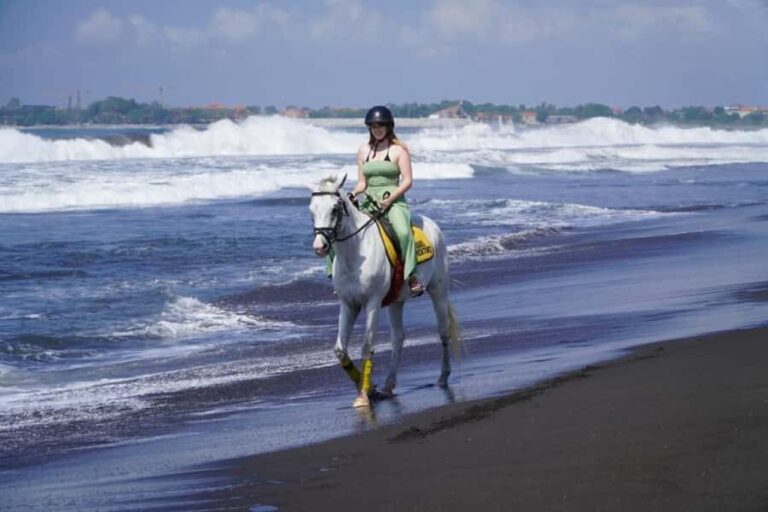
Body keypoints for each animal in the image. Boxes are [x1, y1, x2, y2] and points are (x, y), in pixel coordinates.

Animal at [309, 173, 461, 408]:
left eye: (334, 208)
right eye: (311, 210)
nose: (320, 246)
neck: (355, 251)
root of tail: (432, 225)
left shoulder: (372, 302)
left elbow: (367, 346)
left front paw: (363, 395)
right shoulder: (349, 304)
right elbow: (340, 350)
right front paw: (370, 388)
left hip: (439, 290)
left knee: (443, 331)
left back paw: (443, 377)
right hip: (397, 301)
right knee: (398, 338)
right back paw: (389, 386)